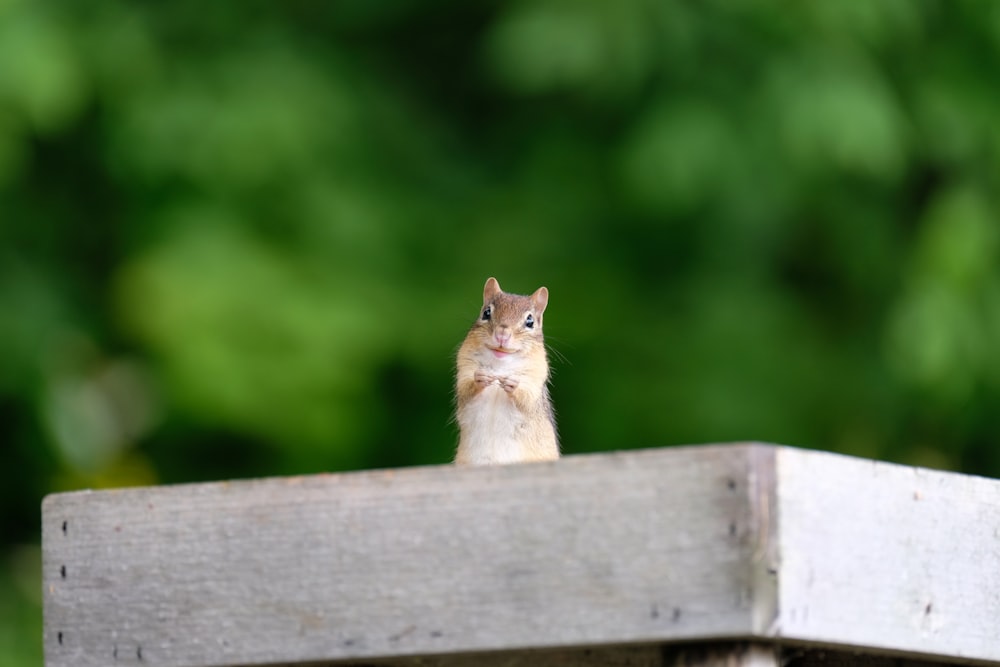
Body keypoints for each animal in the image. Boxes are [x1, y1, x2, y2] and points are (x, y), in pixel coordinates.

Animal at [456, 276, 560, 464]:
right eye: (486, 313)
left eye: (530, 322)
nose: (502, 335)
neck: (500, 365)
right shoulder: (464, 368)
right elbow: (466, 390)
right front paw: (479, 378)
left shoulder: (535, 379)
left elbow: (526, 400)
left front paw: (513, 384)